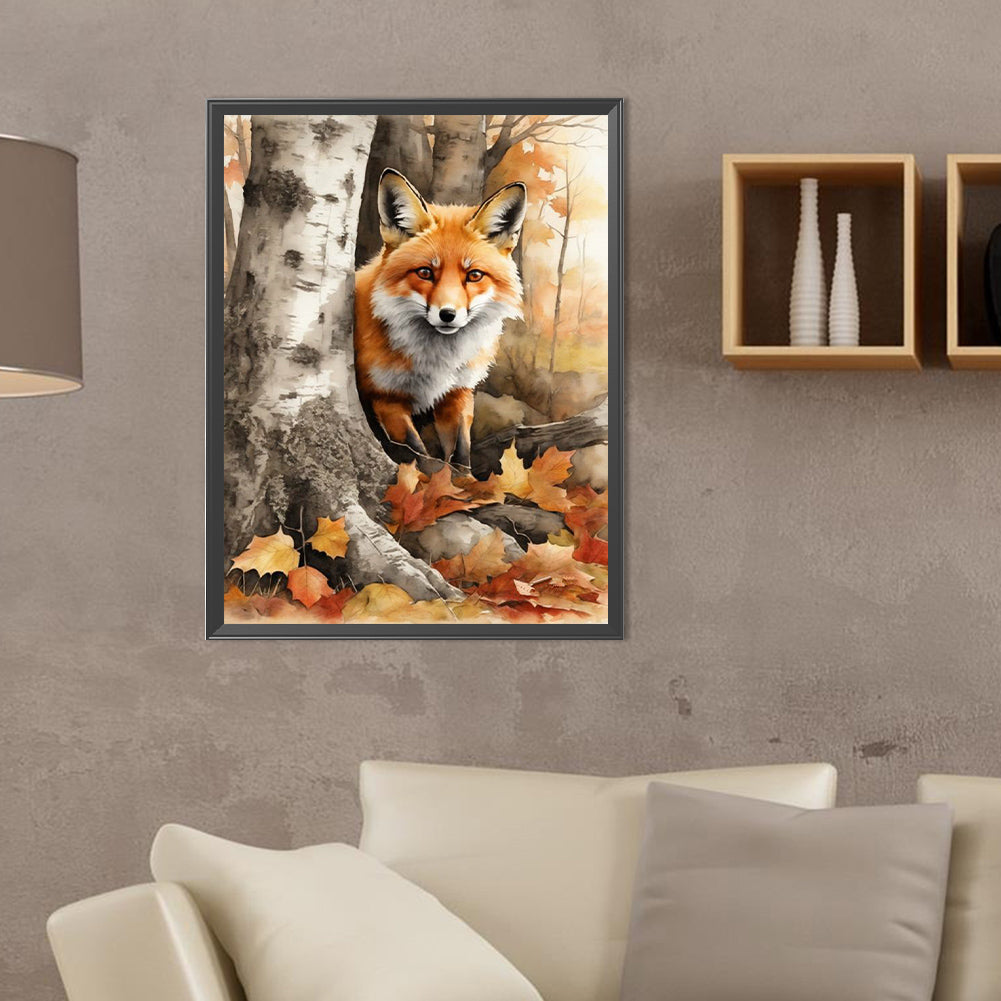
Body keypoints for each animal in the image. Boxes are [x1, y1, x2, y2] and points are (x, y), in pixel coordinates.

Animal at [354, 168, 528, 469]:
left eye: (474, 275)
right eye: (425, 272)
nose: (448, 314)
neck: (438, 362)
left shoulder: (458, 393)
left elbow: (460, 453)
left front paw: (464, 480)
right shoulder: (386, 397)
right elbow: (419, 456)